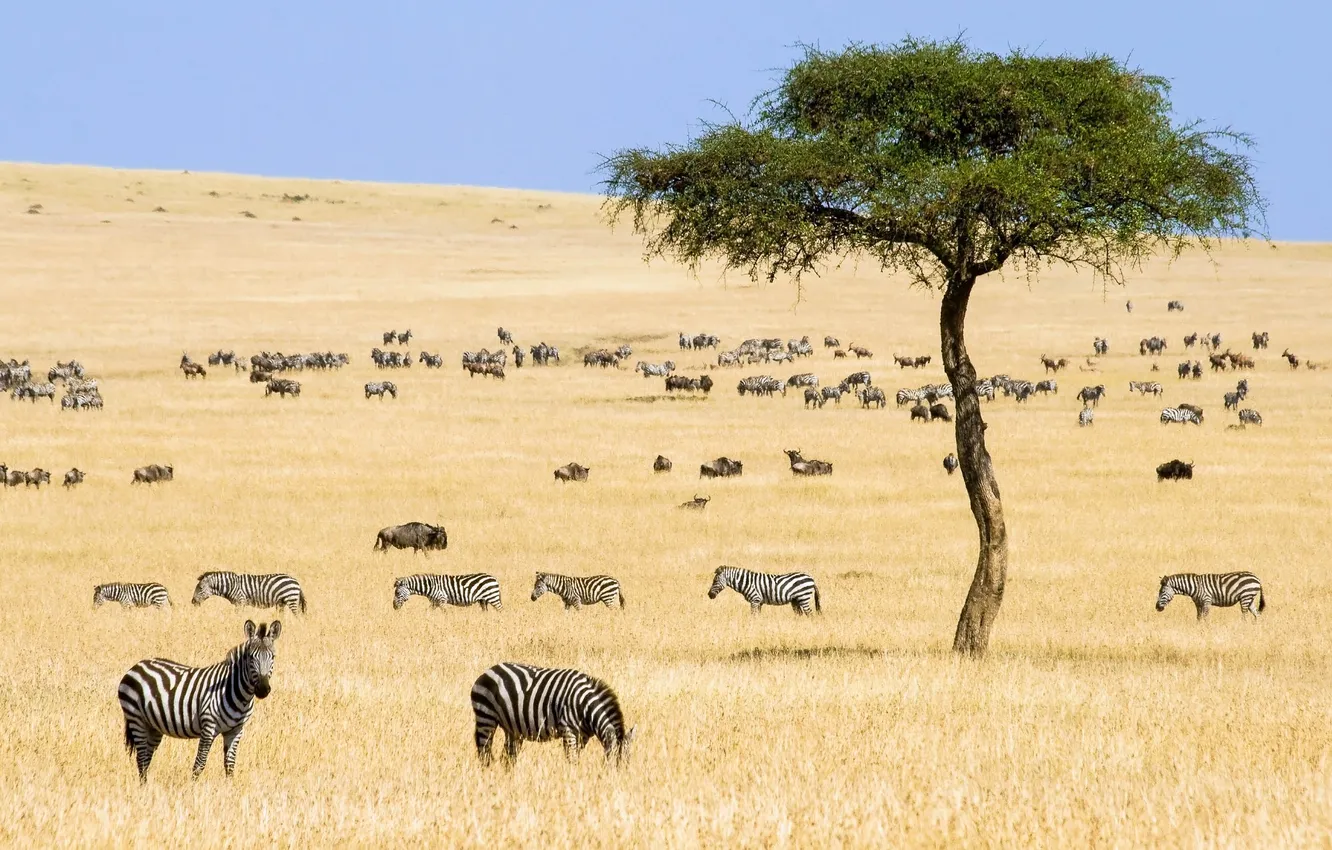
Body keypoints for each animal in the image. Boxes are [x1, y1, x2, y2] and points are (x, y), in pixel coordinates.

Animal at [117, 615, 283, 783]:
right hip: (136, 718)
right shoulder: (208, 726)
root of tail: (137, 665)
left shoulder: (236, 730)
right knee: (141, 758)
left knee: (146, 758)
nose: (263, 689)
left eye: (273, 657)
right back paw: (143, 787)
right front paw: (192, 787)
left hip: (153, 725)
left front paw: (230, 787)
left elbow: (230, 765)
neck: (238, 694)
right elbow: (200, 763)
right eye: (250, 658)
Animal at [468, 663, 634, 767]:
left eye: (627, 764)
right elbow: (572, 759)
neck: (585, 706)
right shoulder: (568, 730)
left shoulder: (582, 736)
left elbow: (575, 757)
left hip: (511, 728)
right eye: (614, 765)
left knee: (508, 757)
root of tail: (488, 671)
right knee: (484, 750)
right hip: (486, 717)